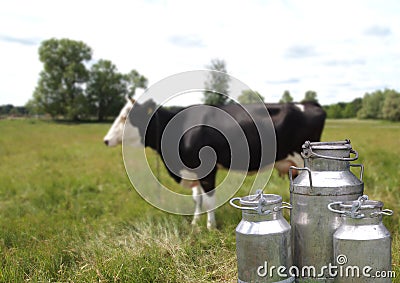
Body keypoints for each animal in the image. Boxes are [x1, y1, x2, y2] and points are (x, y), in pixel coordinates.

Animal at [104, 97, 326, 231]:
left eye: (126, 117)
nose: (106, 140)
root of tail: (308, 103)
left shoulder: (207, 170)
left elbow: (209, 200)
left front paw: (211, 226)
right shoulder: (193, 172)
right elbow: (198, 199)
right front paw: (195, 222)